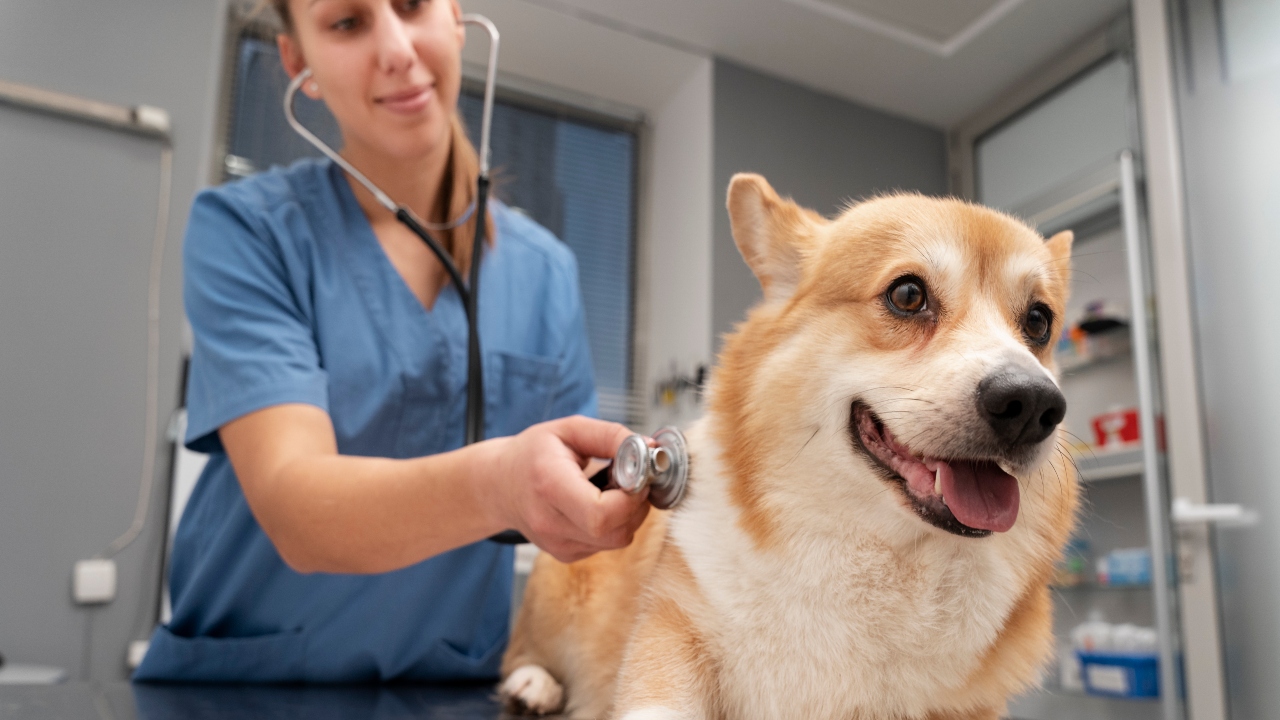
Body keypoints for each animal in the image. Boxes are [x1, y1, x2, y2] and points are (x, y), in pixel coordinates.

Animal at [499, 174, 1080, 717]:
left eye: (1038, 321)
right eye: (907, 295)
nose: (1031, 404)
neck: (878, 548)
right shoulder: (672, 625)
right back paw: (533, 683)